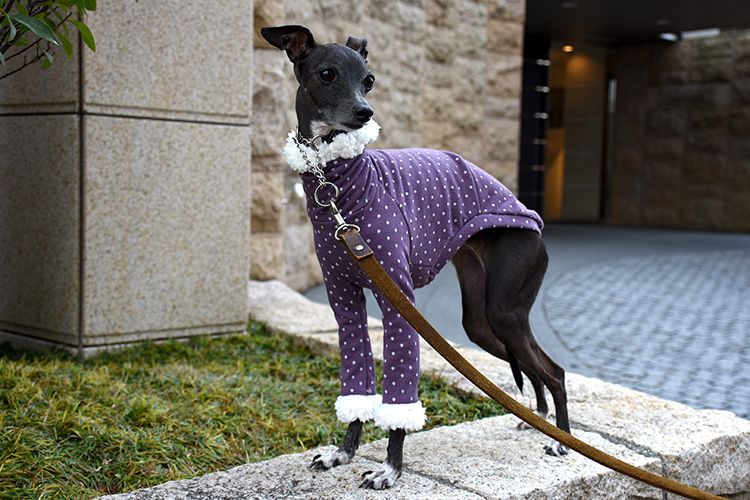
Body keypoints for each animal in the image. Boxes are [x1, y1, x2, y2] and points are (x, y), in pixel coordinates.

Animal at [261, 25, 570, 490]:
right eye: (327, 73)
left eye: (369, 79)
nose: (364, 113)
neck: (336, 186)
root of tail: (534, 223)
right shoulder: (344, 304)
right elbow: (356, 386)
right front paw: (343, 454)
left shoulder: (398, 302)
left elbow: (399, 400)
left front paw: (389, 469)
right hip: (481, 322)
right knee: (533, 367)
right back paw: (539, 421)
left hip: (506, 310)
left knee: (554, 371)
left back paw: (562, 442)